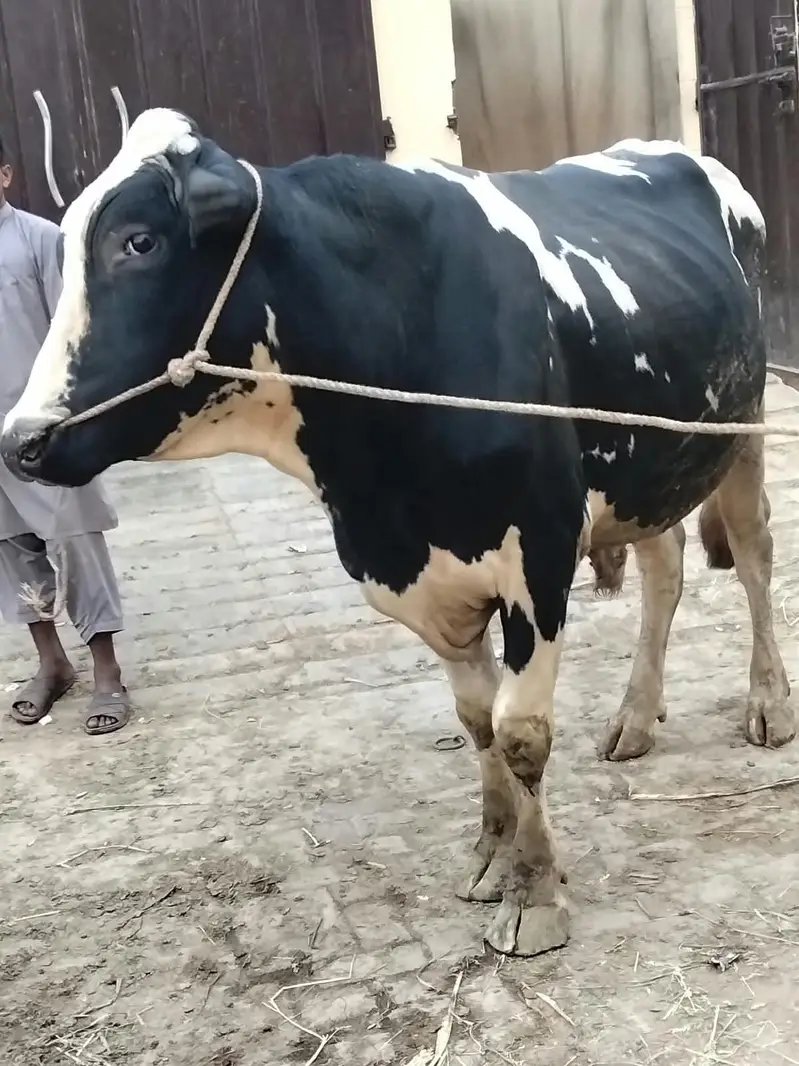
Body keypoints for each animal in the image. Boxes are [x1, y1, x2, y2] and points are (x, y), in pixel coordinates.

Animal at [0, 109, 793, 957]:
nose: (22, 441)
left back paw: (768, 705)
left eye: (139, 242)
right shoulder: (425, 580)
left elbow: (519, 731)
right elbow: (476, 722)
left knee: (751, 554)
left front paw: (536, 894)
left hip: (738, 425)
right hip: (650, 463)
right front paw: (492, 854)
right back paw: (635, 718)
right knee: (663, 566)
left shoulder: (540, 554)